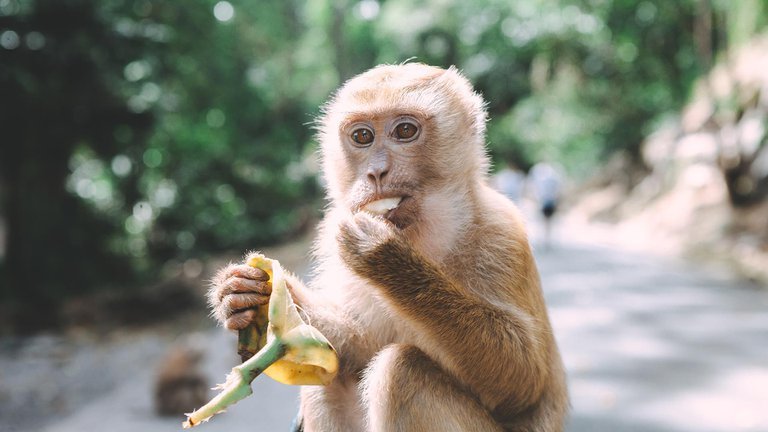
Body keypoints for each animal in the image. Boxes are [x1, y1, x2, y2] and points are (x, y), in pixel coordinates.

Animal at [209, 63, 568, 431]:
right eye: (362, 137)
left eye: (405, 131)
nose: (376, 172)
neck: (422, 234)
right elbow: (357, 347)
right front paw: (245, 295)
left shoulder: (502, 236)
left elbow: (523, 383)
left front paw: (386, 258)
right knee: (329, 380)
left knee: (402, 371)